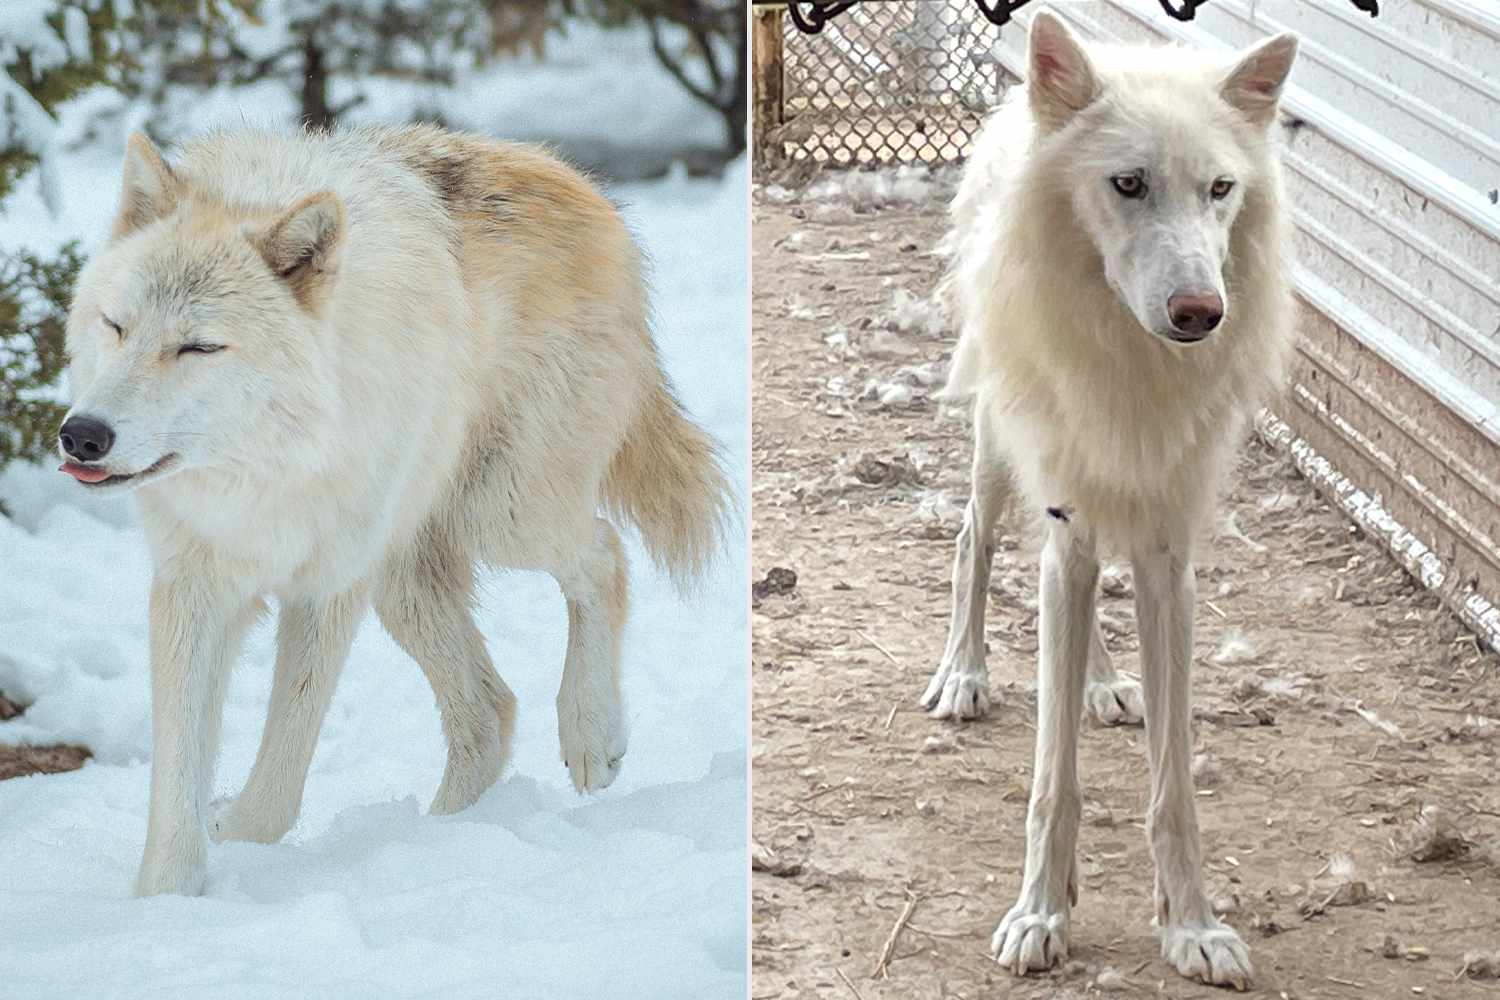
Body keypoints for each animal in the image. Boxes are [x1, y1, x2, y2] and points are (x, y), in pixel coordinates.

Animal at [58, 125, 732, 899]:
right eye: (117, 326)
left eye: (198, 346)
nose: (82, 435)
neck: (267, 468)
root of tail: (579, 181)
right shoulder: (194, 583)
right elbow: (177, 776)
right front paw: (166, 901)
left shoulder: (327, 587)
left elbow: (281, 771)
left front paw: (238, 847)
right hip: (405, 583)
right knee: (490, 709)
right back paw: (446, 837)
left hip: (500, 515)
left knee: (604, 555)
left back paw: (591, 736)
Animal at [918, 9, 1296, 995]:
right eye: (1128, 184)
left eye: (1220, 190)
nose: (1201, 312)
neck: (1131, 359)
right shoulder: (1069, 522)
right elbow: (1055, 784)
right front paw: (1040, 916)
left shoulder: (1166, 557)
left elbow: (1174, 790)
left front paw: (1193, 926)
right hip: (999, 448)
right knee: (973, 541)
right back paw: (964, 674)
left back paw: (1103, 683)